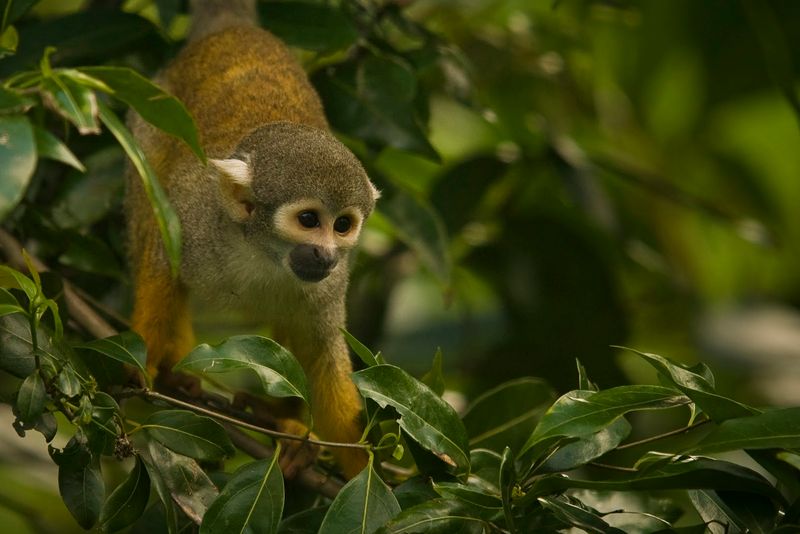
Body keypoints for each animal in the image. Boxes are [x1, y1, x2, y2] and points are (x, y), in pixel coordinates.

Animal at [124, 0, 377, 479]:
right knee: (148, 197)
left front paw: (368, 471)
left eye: (342, 225)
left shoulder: (331, 284)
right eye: (309, 219)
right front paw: (142, 363)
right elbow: (162, 257)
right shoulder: (196, 219)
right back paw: (175, 364)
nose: (327, 254)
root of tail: (234, 27)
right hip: (150, 111)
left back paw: (281, 420)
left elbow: (321, 353)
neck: (262, 254)